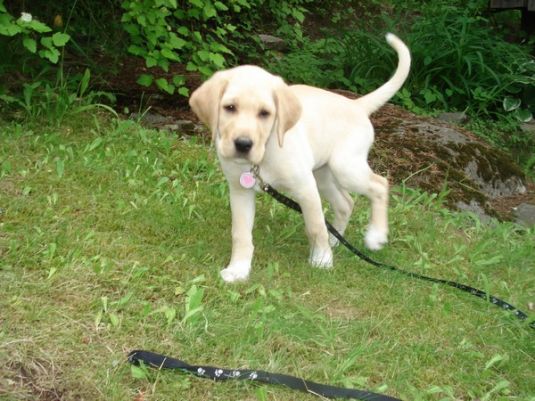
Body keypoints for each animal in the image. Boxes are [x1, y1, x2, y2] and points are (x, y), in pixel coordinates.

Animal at [191, 32, 412, 282]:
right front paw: (238, 268)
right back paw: (336, 240)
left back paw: (375, 235)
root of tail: (356, 105)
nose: (243, 144)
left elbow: (315, 226)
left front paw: (322, 260)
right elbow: (240, 233)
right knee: (346, 203)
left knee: (379, 184)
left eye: (265, 113)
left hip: (344, 167)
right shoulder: (240, 191)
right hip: (323, 174)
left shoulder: (305, 187)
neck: (264, 155)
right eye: (229, 107)